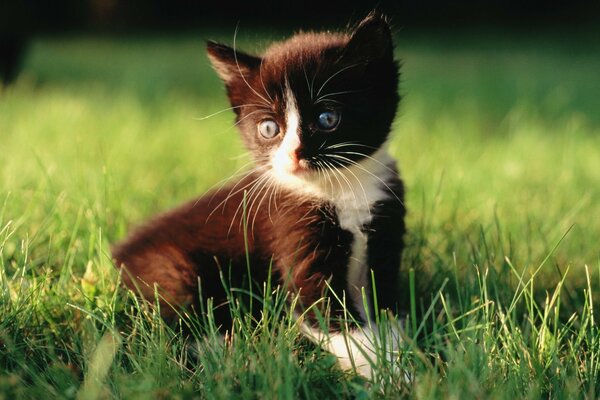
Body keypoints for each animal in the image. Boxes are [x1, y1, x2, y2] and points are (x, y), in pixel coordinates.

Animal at [112, 14, 406, 378]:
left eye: (327, 118)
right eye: (269, 128)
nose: (293, 154)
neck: (341, 189)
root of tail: (119, 255)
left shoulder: (386, 223)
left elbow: (388, 310)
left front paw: (404, 355)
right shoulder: (290, 230)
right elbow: (331, 318)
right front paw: (392, 375)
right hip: (167, 268)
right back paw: (237, 359)